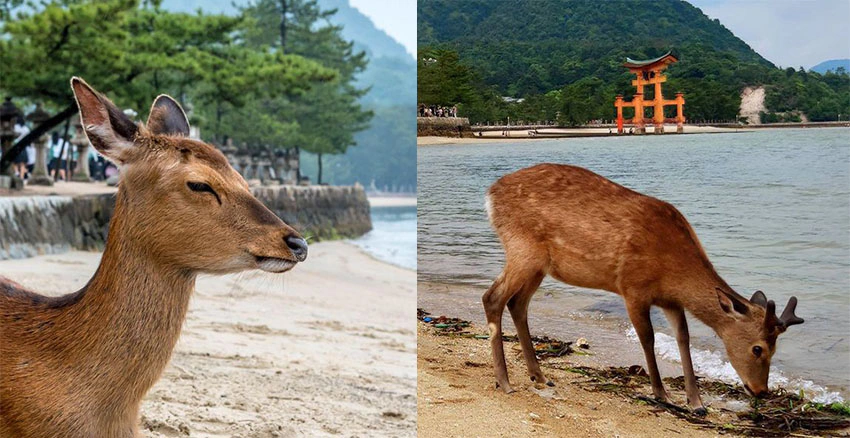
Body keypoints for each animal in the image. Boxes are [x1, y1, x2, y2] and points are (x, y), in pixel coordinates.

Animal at [483, 163, 803, 415]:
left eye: (776, 347)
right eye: (758, 348)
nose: (761, 391)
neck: (673, 272)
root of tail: (490, 194)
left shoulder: (671, 301)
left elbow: (683, 339)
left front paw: (696, 402)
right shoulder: (632, 287)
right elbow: (648, 338)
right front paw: (662, 394)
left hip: (539, 265)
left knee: (518, 304)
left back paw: (539, 376)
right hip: (523, 249)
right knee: (493, 298)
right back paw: (505, 381)